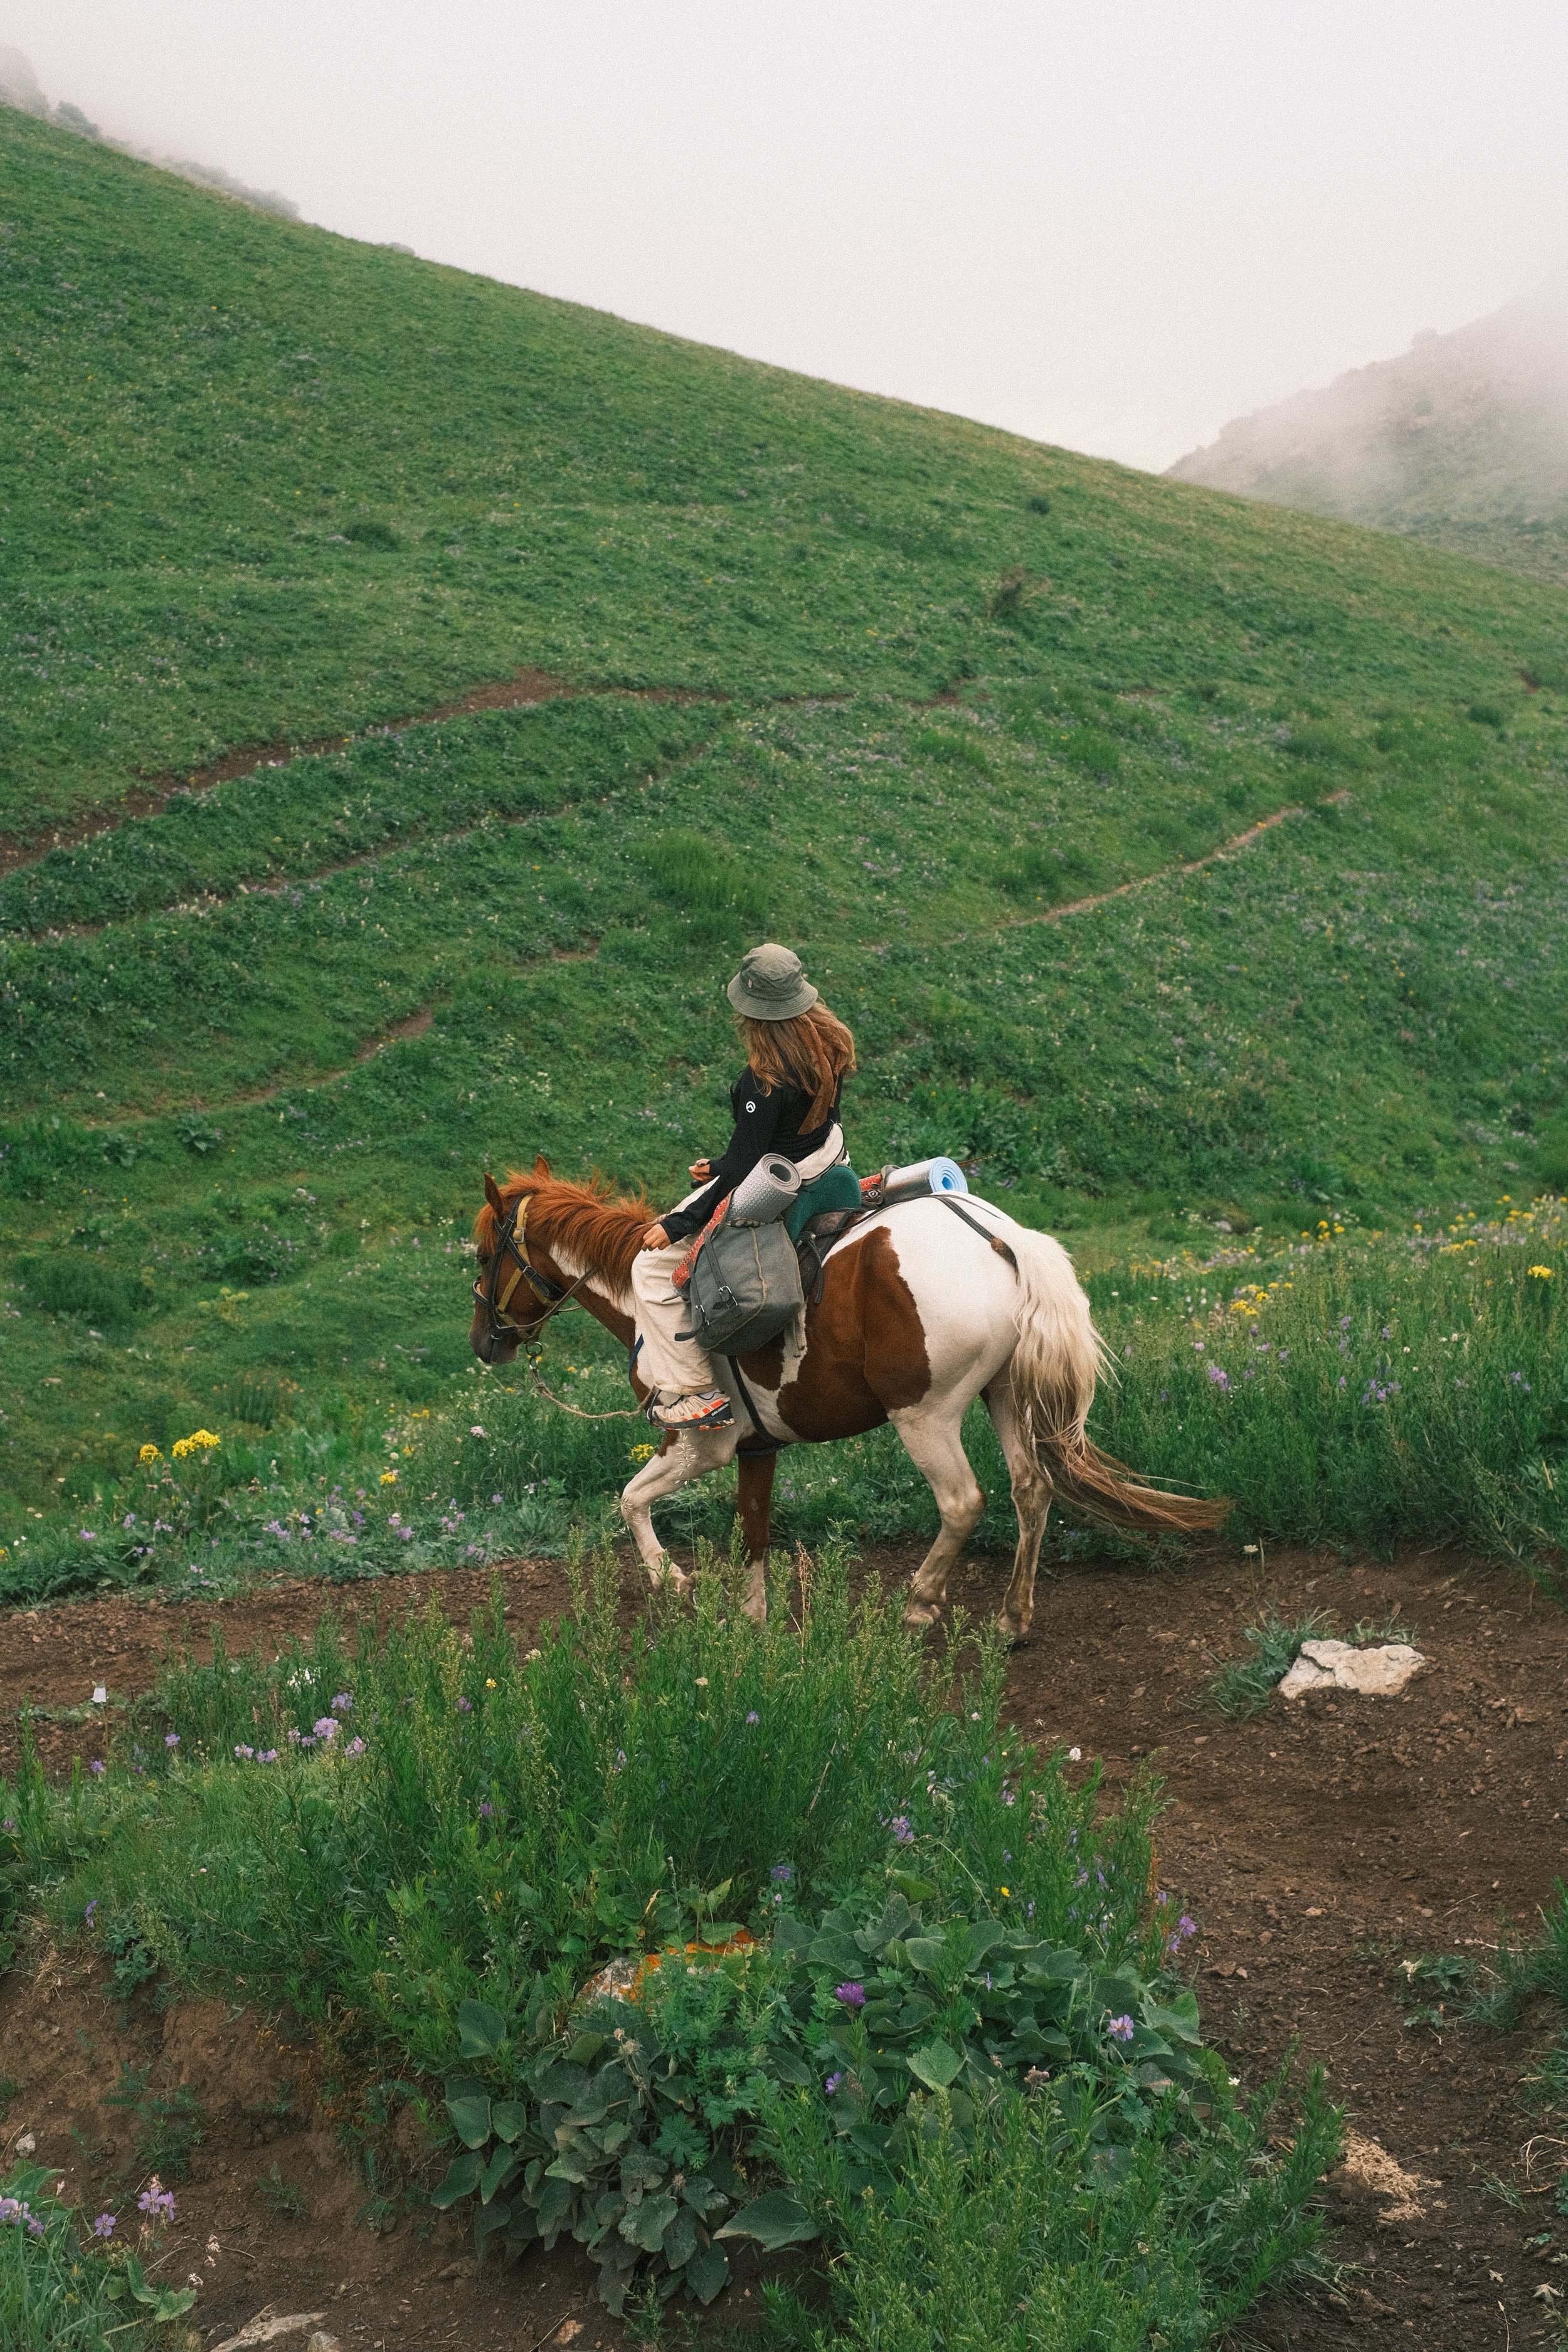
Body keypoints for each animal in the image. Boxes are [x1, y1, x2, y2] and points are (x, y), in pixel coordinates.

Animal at [470, 1160, 1226, 1636]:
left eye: (482, 1254)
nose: (484, 1343)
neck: (640, 1297)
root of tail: (1002, 1237)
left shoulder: (697, 1442)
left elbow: (629, 1499)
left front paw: (672, 1581)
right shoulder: (757, 1448)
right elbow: (753, 1530)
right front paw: (752, 1619)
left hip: (925, 1417)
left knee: (963, 1503)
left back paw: (920, 1604)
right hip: (1007, 1398)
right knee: (1031, 1491)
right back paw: (1013, 1618)